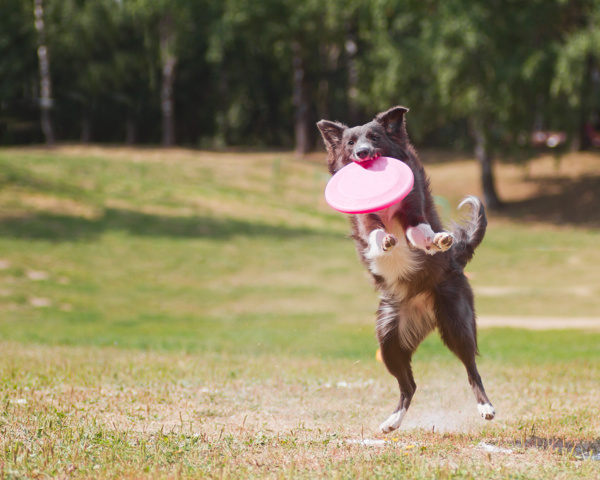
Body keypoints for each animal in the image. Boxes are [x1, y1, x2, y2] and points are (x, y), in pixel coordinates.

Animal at [316, 106, 494, 436]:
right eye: (350, 143)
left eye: (375, 137)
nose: (363, 153)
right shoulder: (365, 219)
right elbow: (374, 232)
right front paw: (386, 240)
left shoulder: (414, 211)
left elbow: (420, 232)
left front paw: (437, 240)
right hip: (388, 338)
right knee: (408, 384)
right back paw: (391, 422)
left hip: (456, 320)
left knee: (471, 368)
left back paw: (485, 407)